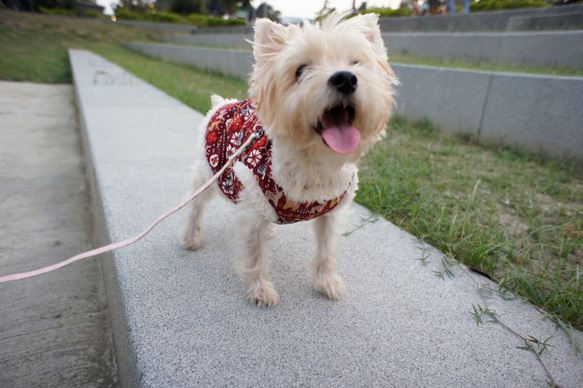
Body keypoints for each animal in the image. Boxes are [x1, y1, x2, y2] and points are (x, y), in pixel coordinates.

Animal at [177, 12, 396, 306]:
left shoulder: (331, 213)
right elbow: (254, 254)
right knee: (195, 205)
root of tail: (221, 103)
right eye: (300, 71)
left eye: (356, 63)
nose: (345, 78)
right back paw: (190, 237)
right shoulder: (252, 200)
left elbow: (326, 250)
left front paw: (327, 283)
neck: (313, 164)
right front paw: (260, 291)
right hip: (210, 172)